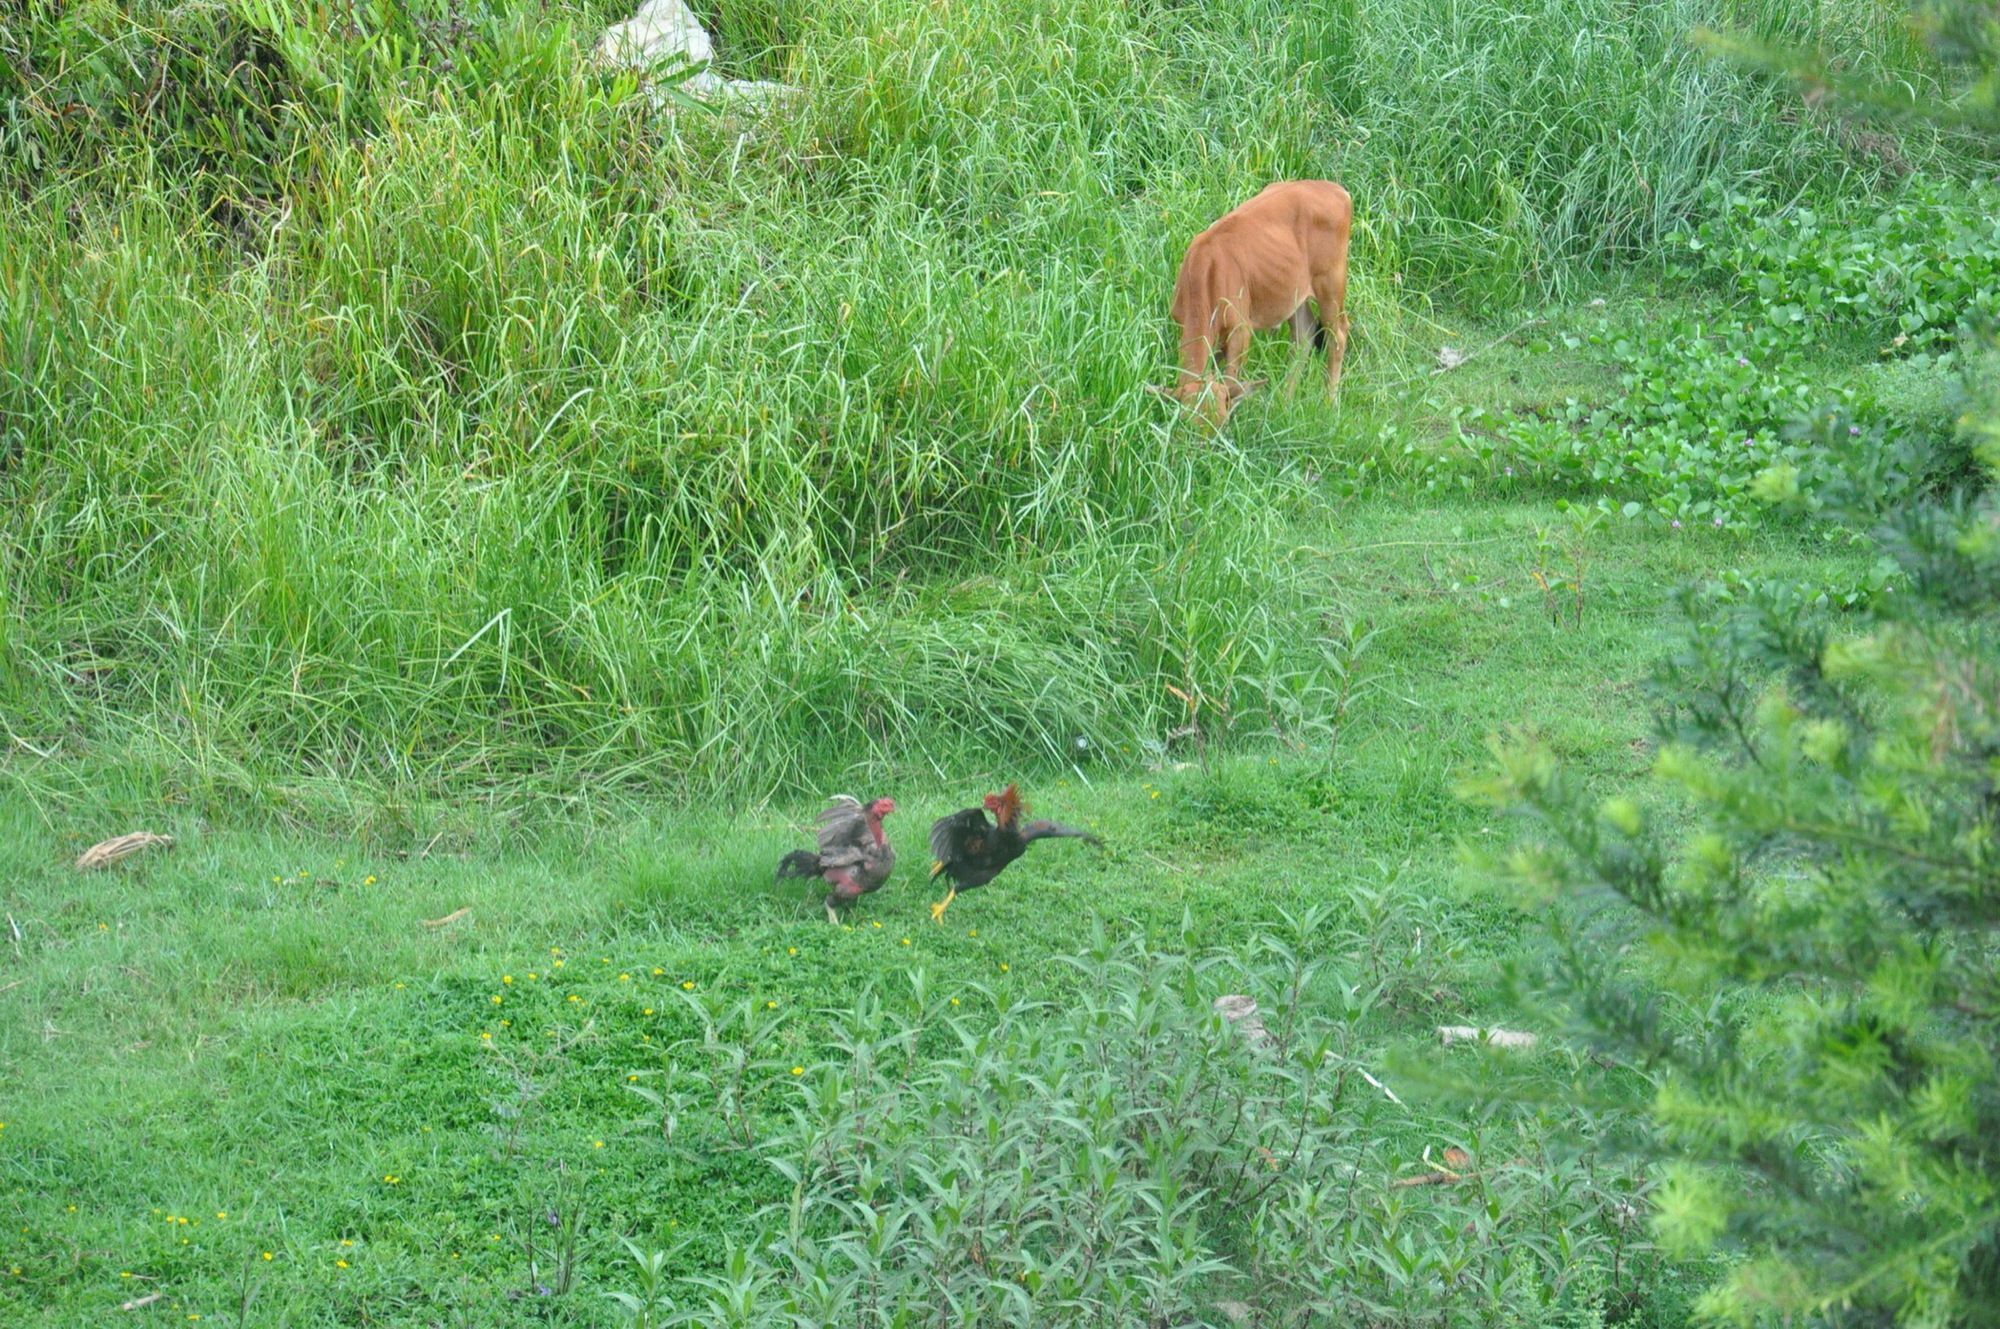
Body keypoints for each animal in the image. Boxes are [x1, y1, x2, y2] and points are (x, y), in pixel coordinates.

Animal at [1152, 178, 1352, 426]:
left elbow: (1232, 379)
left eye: (1221, 423)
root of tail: (1337, 190)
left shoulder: (1240, 328)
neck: (1203, 276)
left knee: (1338, 334)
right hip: (1294, 292)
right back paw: (1284, 402)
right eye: (1185, 422)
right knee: (1304, 333)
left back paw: (1330, 404)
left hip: (1331, 281)